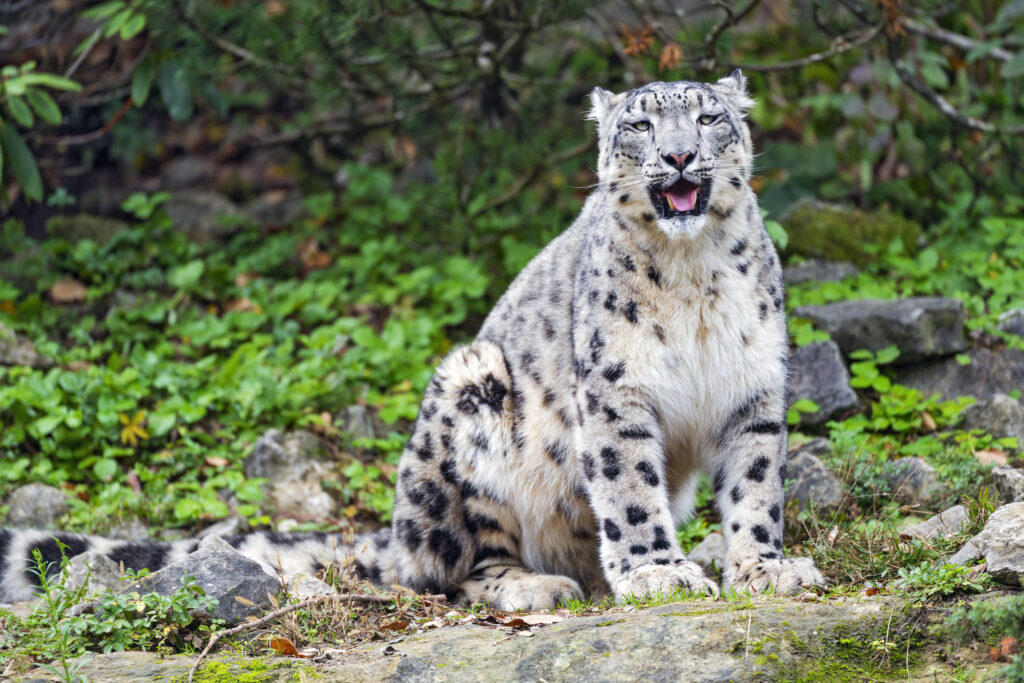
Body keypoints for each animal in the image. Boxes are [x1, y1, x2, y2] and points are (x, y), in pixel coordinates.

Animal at [0, 71, 824, 610]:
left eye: (709, 119)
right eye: (641, 125)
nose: (681, 156)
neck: (694, 278)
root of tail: (392, 530)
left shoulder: (754, 386)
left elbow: (756, 484)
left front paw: (764, 566)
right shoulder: (617, 392)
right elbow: (627, 490)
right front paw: (658, 573)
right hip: (469, 398)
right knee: (455, 564)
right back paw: (535, 583)